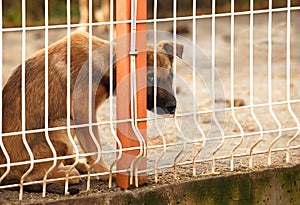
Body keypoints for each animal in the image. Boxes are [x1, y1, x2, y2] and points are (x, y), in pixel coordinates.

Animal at [0, 31, 183, 184]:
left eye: (171, 76)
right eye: (149, 78)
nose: (172, 107)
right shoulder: (84, 114)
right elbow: (94, 147)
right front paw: (105, 172)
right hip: (63, 123)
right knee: (27, 178)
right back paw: (65, 174)